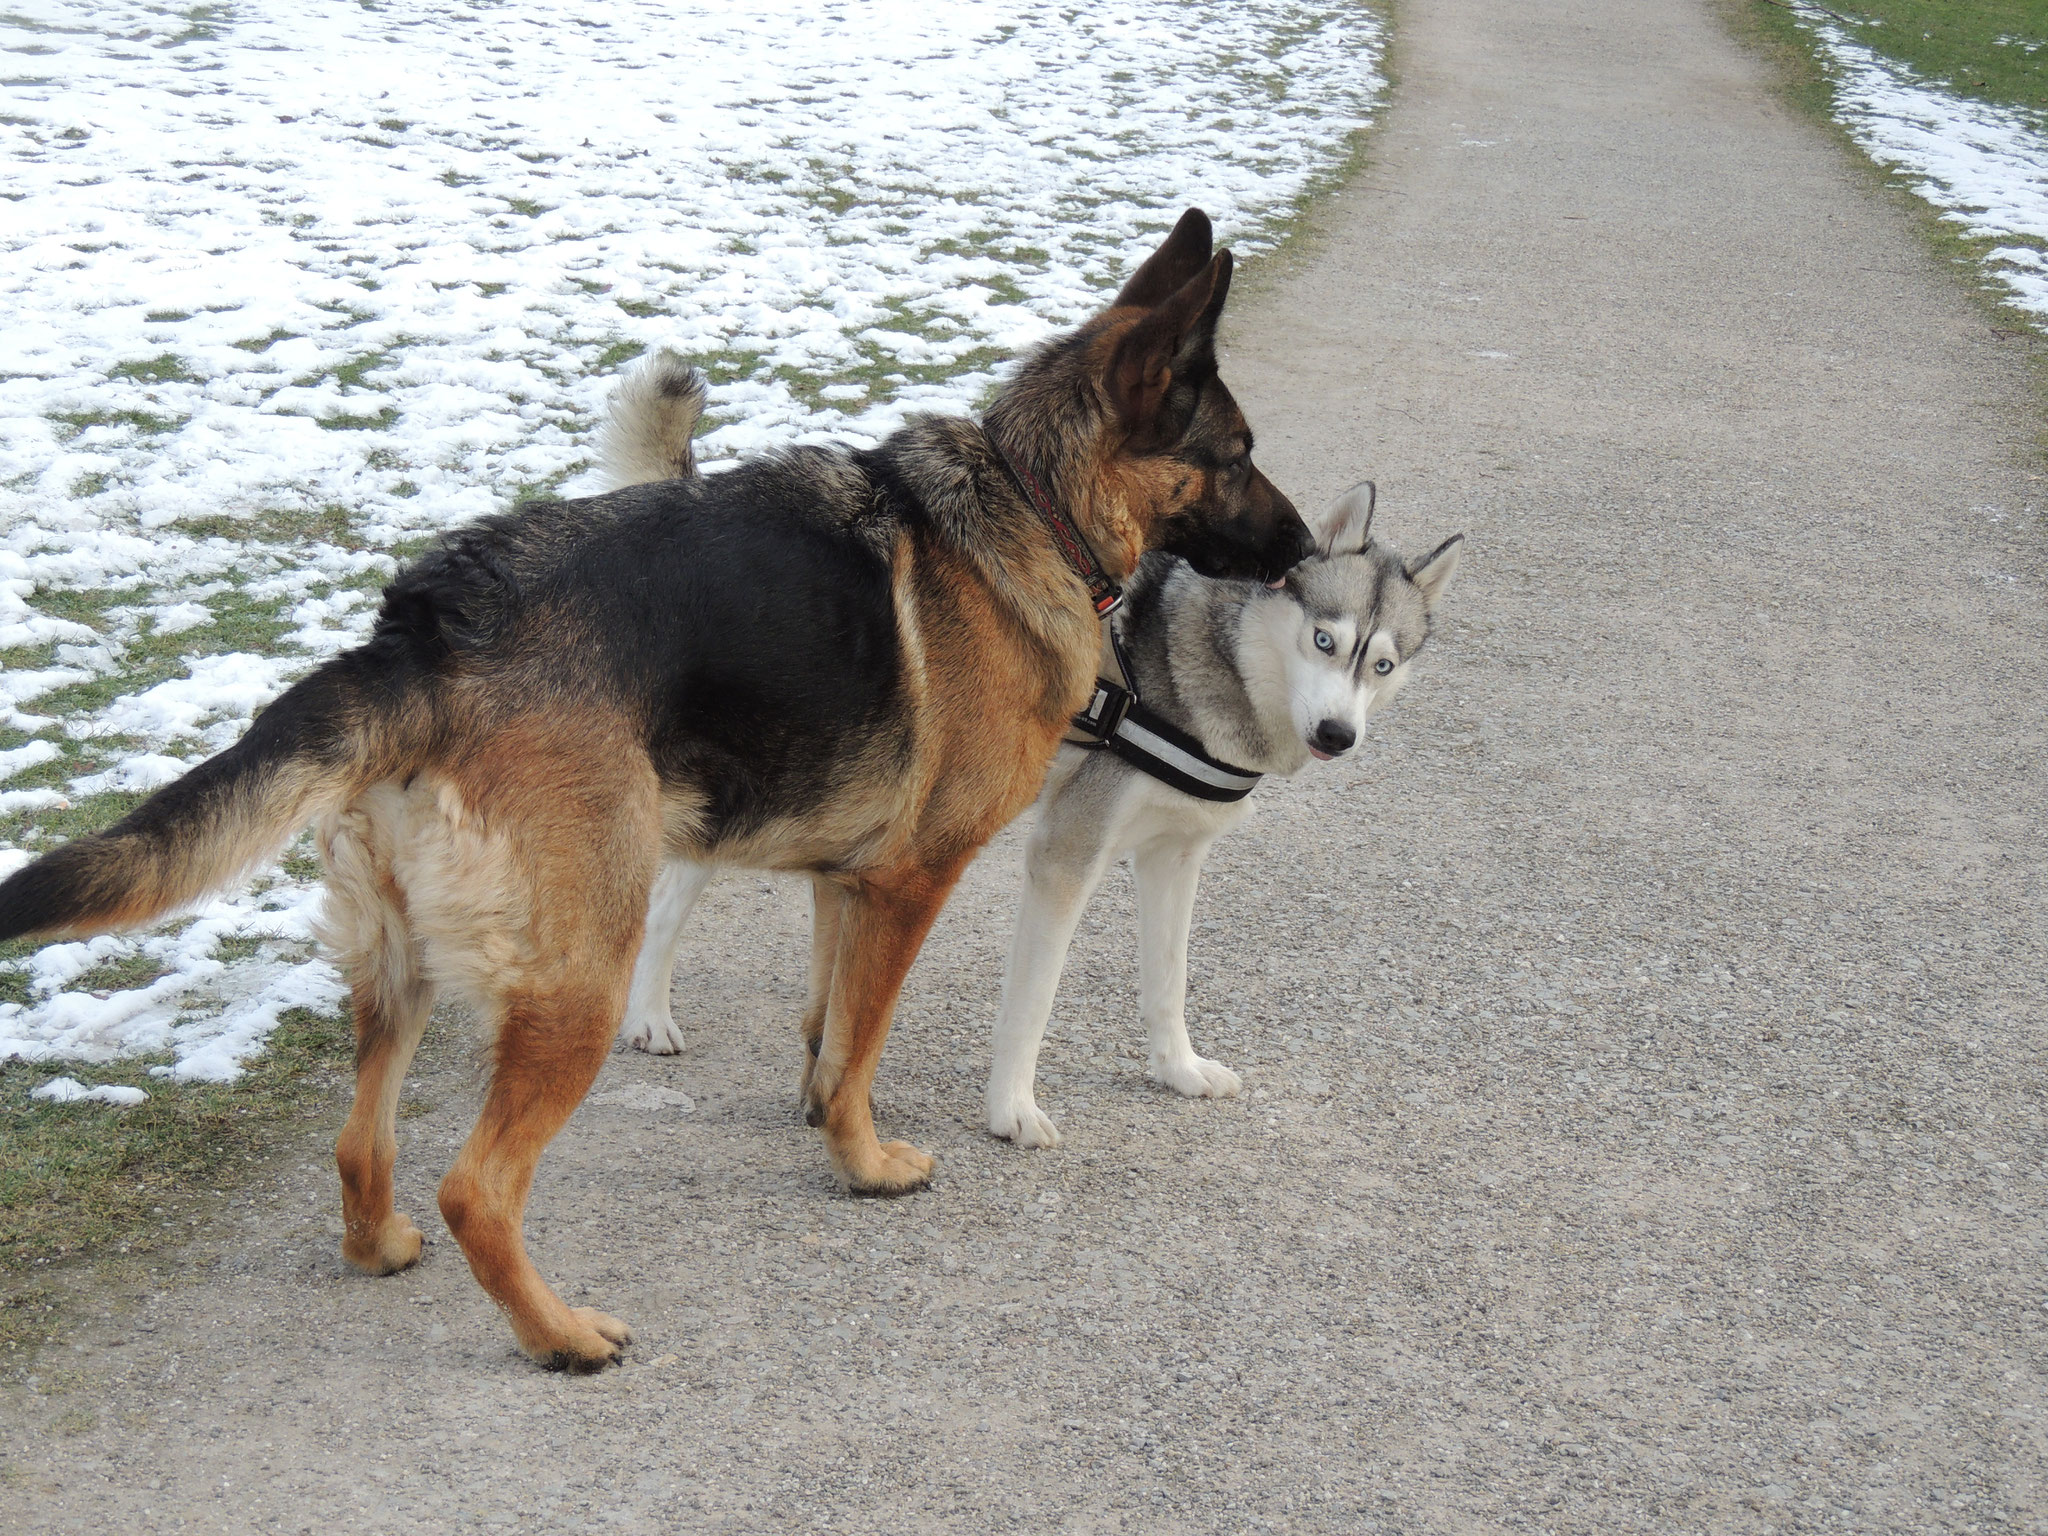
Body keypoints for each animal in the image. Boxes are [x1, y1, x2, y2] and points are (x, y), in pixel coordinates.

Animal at [0, 214, 1310, 1368]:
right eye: (1237, 458)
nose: (1304, 550)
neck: (1031, 501)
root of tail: (426, 629)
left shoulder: (844, 881)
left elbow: (828, 1029)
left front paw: (820, 1115)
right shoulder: (908, 883)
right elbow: (865, 1043)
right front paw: (865, 1163)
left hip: (402, 961)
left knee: (359, 1142)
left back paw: (380, 1247)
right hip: (582, 969)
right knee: (476, 1186)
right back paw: (559, 1337)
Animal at [987, 487, 1458, 1146]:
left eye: (1383, 665)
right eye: (1324, 641)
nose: (1337, 735)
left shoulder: (1173, 855)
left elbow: (1169, 980)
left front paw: (1178, 1070)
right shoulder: (1066, 854)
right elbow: (1032, 1001)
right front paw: (1011, 1109)